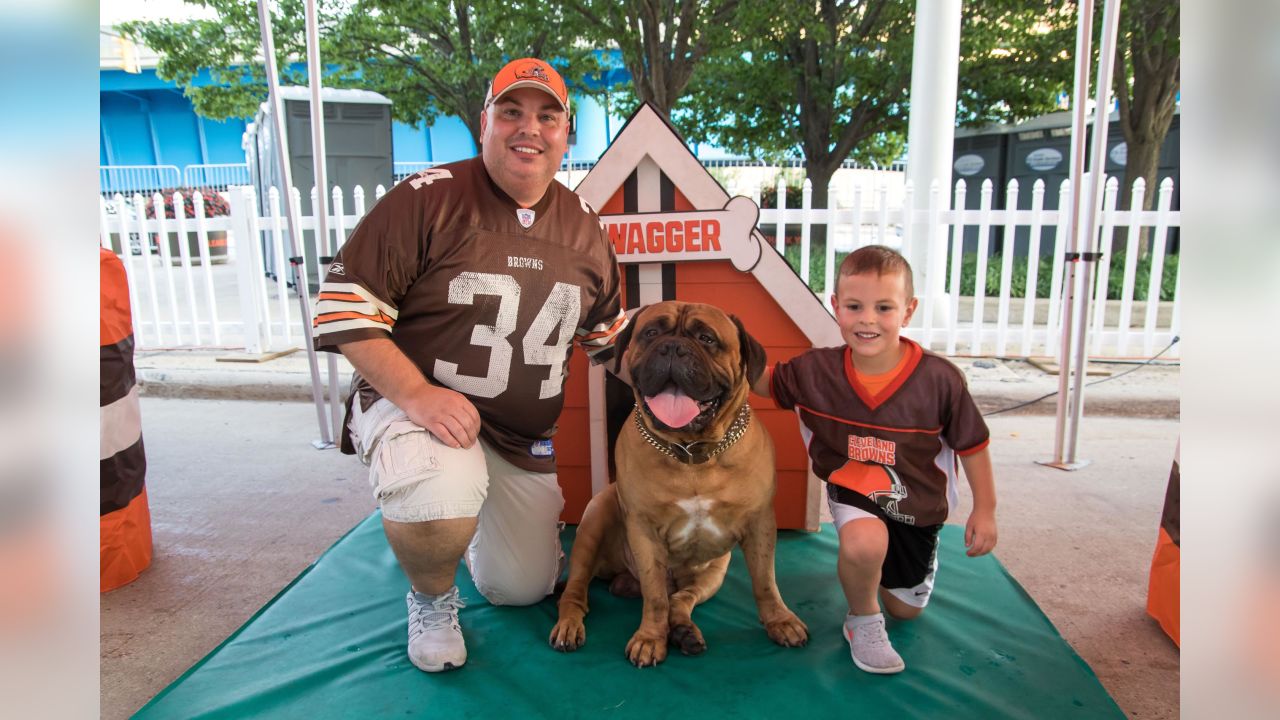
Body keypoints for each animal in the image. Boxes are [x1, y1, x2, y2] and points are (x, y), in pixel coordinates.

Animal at [545, 299, 803, 666]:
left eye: (707, 338)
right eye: (651, 332)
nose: (672, 347)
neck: (692, 452)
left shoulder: (760, 524)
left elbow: (765, 581)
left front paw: (780, 621)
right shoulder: (644, 529)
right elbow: (654, 596)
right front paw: (650, 639)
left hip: (713, 573)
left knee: (681, 600)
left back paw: (684, 631)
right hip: (592, 526)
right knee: (578, 592)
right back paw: (569, 625)